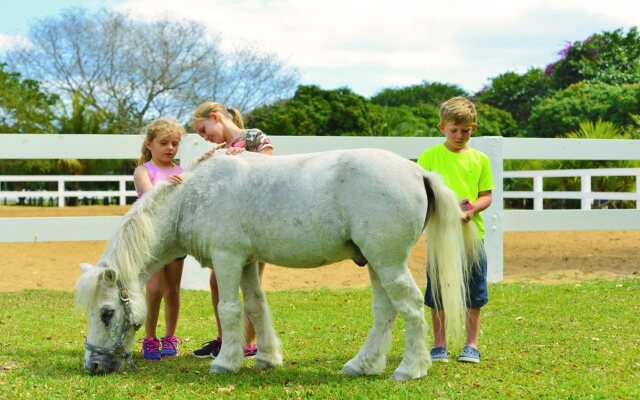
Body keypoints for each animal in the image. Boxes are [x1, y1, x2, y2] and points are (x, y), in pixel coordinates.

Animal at [75, 148, 480, 382]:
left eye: (107, 313)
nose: (92, 365)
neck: (194, 196)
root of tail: (417, 173)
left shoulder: (227, 258)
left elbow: (230, 309)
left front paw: (225, 362)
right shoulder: (247, 263)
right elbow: (256, 306)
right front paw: (267, 358)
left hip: (388, 261)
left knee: (410, 307)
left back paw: (410, 369)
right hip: (376, 264)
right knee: (385, 313)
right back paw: (361, 365)